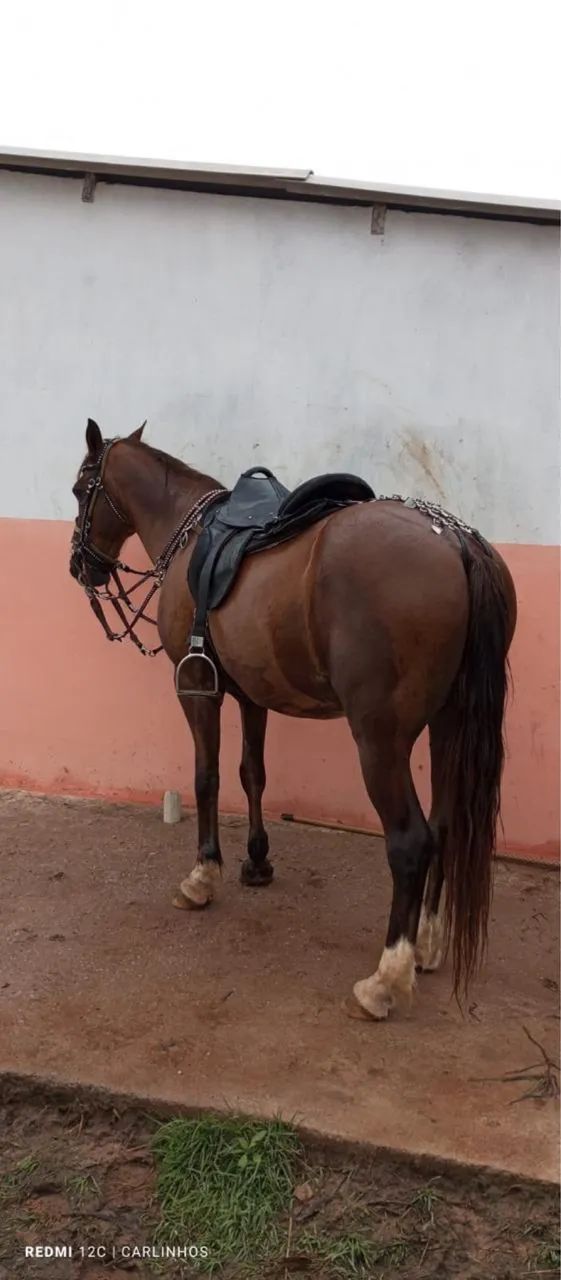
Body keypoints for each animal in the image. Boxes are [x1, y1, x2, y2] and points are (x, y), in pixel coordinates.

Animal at [69, 419, 517, 1021]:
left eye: (80, 491)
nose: (79, 565)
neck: (190, 533)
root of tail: (456, 541)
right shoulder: (252, 695)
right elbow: (252, 775)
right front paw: (257, 863)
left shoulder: (197, 690)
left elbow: (207, 778)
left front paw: (202, 875)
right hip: (448, 726)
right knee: (445, 828)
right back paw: (426, 944)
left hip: (380, 739)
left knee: (410, 841)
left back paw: (385, 980)